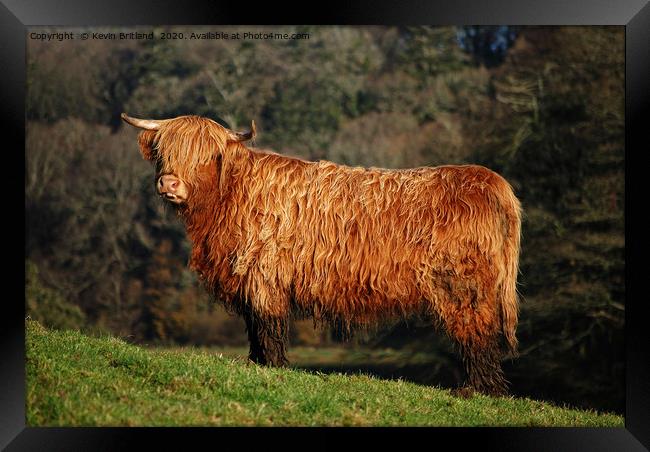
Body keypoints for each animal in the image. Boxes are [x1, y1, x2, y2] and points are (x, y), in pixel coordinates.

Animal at [120, 113, 520, 396]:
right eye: (164, 153)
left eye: (204, 157)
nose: (169, 183)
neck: (228, 198)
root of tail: (487, 179)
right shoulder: (248, 276)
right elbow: (254, 327)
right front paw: (255, 364)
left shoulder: (264, 273)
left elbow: (267, 325)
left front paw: (274, 367)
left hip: (461, 286)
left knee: (478, 335)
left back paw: (479, 390)